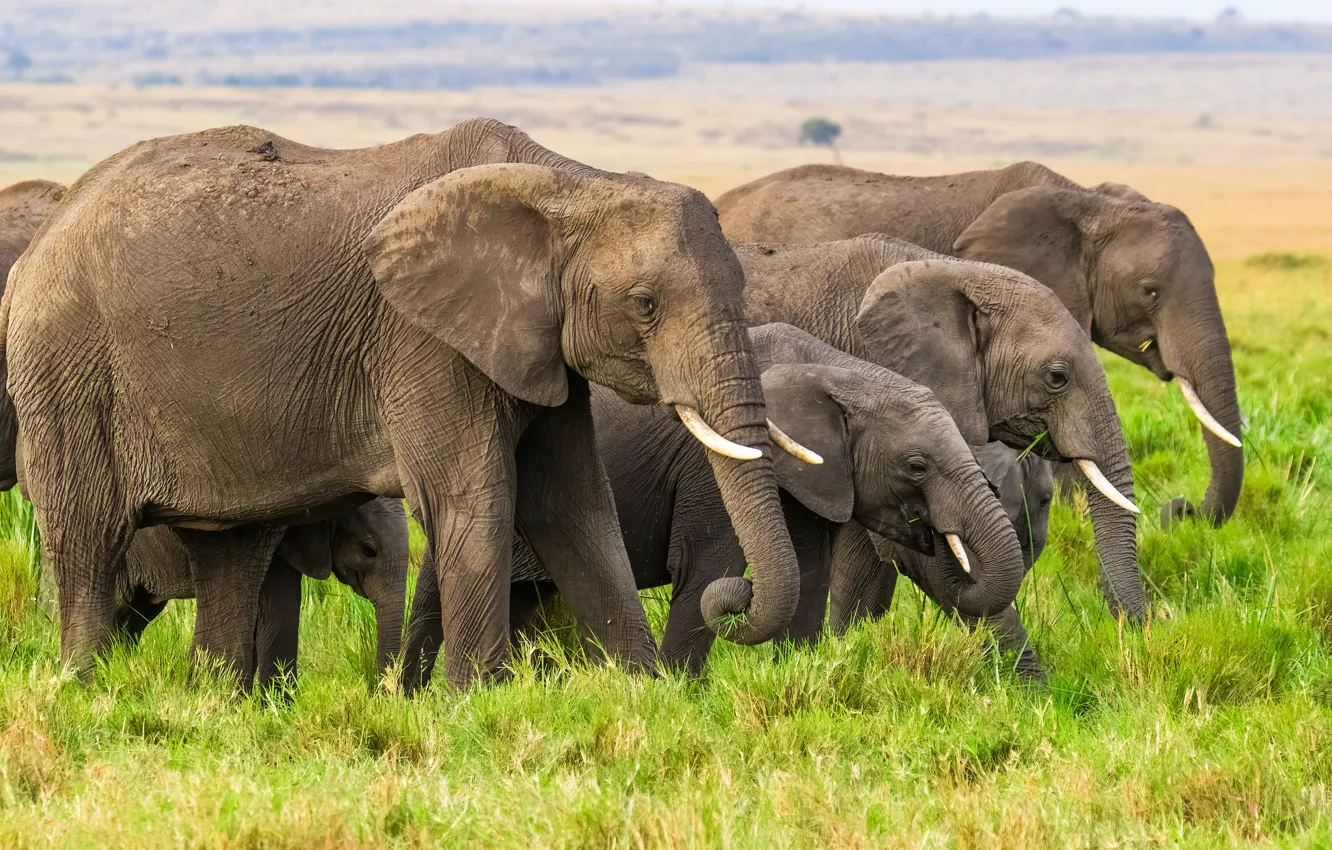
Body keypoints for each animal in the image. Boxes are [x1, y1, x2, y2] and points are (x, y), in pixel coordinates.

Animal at [407, 322, 1029, 678]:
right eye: (916, 465)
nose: (931, 529)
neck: (837, 368)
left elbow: (808, 577)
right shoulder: (713, 464)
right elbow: (707, 568)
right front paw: (678, 697)